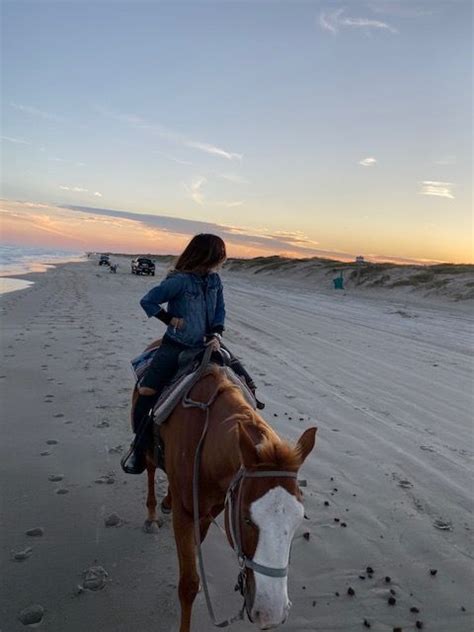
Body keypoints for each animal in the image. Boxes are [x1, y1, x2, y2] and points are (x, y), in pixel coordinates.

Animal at [134, 358, 318, 628]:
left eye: (298, 522)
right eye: (245, 519)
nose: (271, 613)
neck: (205, 440)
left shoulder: (213, 508)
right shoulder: (186, 513)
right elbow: (188, 585)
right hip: (148, 449)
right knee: (148, 469)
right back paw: (151, 515)